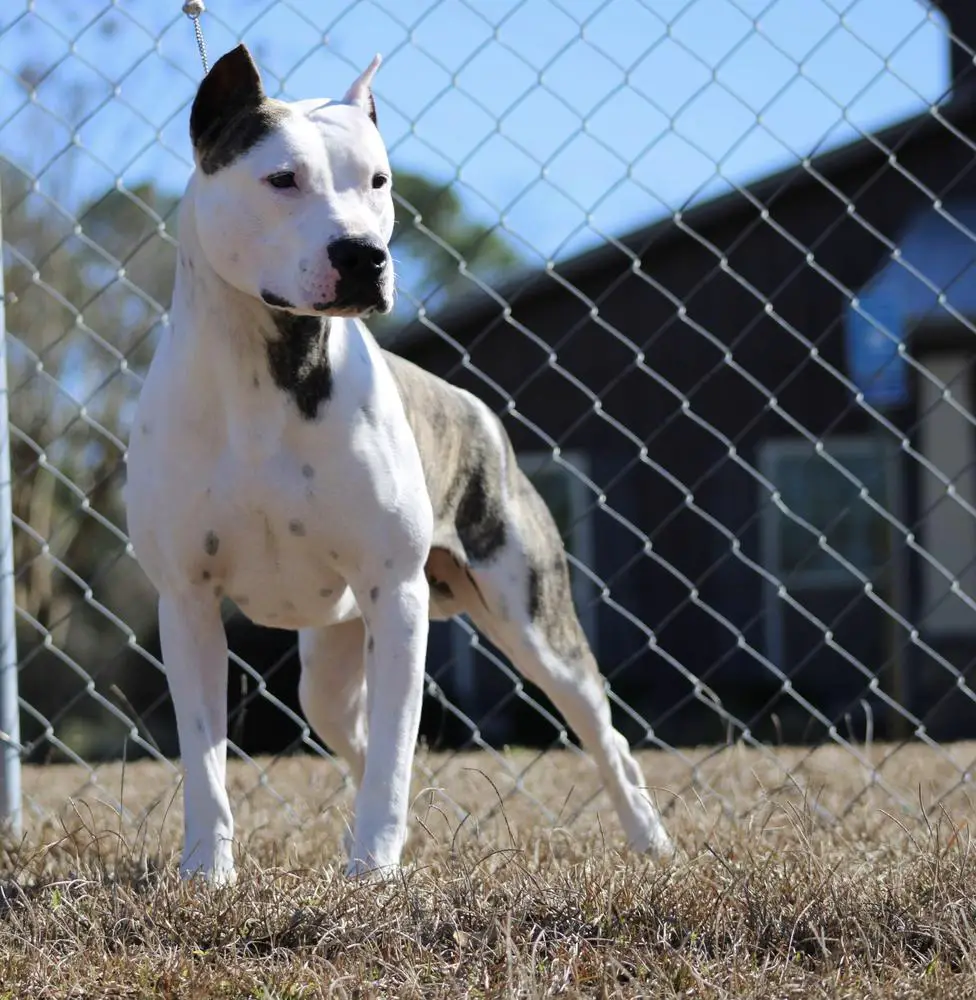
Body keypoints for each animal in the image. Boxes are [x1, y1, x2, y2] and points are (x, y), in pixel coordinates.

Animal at [126, 45, 676, 884]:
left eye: (378, 181)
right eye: (281, 178)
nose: (364, 254)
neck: (266, 368)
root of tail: (478, 411)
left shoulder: (397, 594)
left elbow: (395, 749)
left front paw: (374, 868)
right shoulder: (187, 599)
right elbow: (206, 760)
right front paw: (206, 872)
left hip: (535, 625)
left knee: (604, 737)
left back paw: (650, 842)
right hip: (326, 673)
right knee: (351, 735)